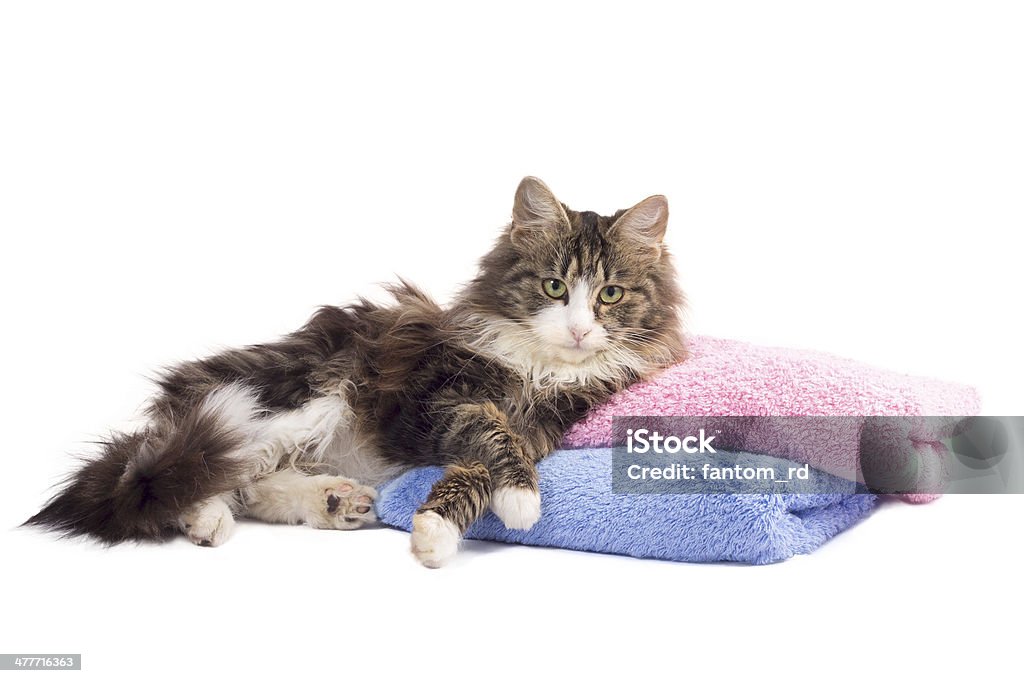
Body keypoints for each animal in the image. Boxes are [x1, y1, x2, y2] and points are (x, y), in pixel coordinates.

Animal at [28, 176, 688, 565]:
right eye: (555, 287)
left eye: (609, 295)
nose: (578, 329)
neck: (539, 368)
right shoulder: (438, 401)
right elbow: (489, 431)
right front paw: (512, 505)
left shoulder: (547, 422)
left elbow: (485, 461)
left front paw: (442, 527)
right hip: (303, 397)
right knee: (196, 474)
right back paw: (207, 518)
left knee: (254, 484)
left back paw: (336, 503)